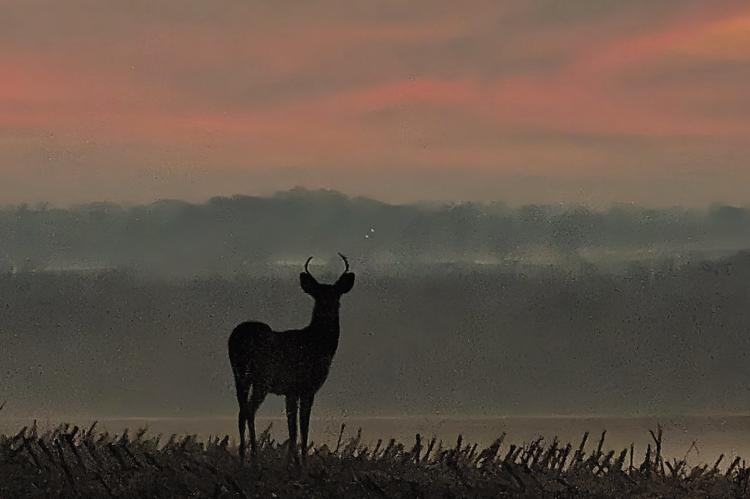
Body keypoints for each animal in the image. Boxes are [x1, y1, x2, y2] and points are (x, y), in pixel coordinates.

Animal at [228, 253, 355, 465]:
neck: (317, 345)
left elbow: (292, 428)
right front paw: (302, 461)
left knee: (241, 412)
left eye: (336, 297)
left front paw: (292, 461)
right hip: (261, 377)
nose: (327, 309)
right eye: (318, 297)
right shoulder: (306, 387)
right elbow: (303, 426)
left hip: (239, 377)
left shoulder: (290, 391)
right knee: (249, 411)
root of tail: (237, 339)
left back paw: (243, 457)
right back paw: (254, 456)